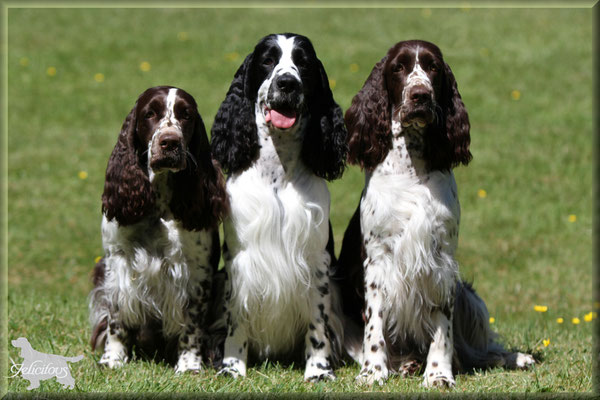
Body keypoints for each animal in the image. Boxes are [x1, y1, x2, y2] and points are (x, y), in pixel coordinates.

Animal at [88, 86, 227, 374]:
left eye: (186, 115)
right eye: (149, 114)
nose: (170, 142)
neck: (158, 206)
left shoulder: (197, 271)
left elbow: (192, 323)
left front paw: (189, 365)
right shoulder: (117, 262)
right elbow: (116, 317)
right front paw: (113, 359)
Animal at [212, 32, 346, 380]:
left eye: (304, 62)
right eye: (267, 60)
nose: (287, 83)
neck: (278, 171)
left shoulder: (316, 260)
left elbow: (318, 321)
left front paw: (319, 370)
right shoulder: (239, 259)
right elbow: (235, 316)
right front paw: (232, 366)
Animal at [336, 41, 536, 388]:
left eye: (433, 68)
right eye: (398, 68)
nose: (420, 95)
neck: (412, 168)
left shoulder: (441, 259)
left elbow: (443, 327)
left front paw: (438, 373)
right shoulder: (376, 260)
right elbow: (374, 326)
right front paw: (373, 373)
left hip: (469, 295)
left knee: (470, 352)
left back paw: (513, 358)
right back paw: (404, 364)